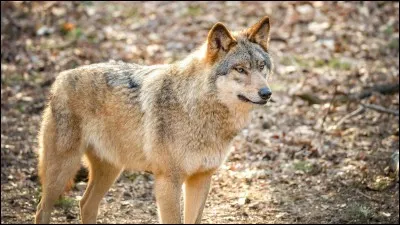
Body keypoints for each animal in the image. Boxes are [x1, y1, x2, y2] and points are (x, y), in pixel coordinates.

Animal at [35, 15, 272, 223]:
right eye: (240, 69)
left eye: (261, 67)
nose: (266, 93)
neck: (197, 109)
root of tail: (60, 79)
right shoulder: (167, 182)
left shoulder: (202, 178)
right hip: (62, 171)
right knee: (42, 209)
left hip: (110, 170)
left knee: (85, 204)